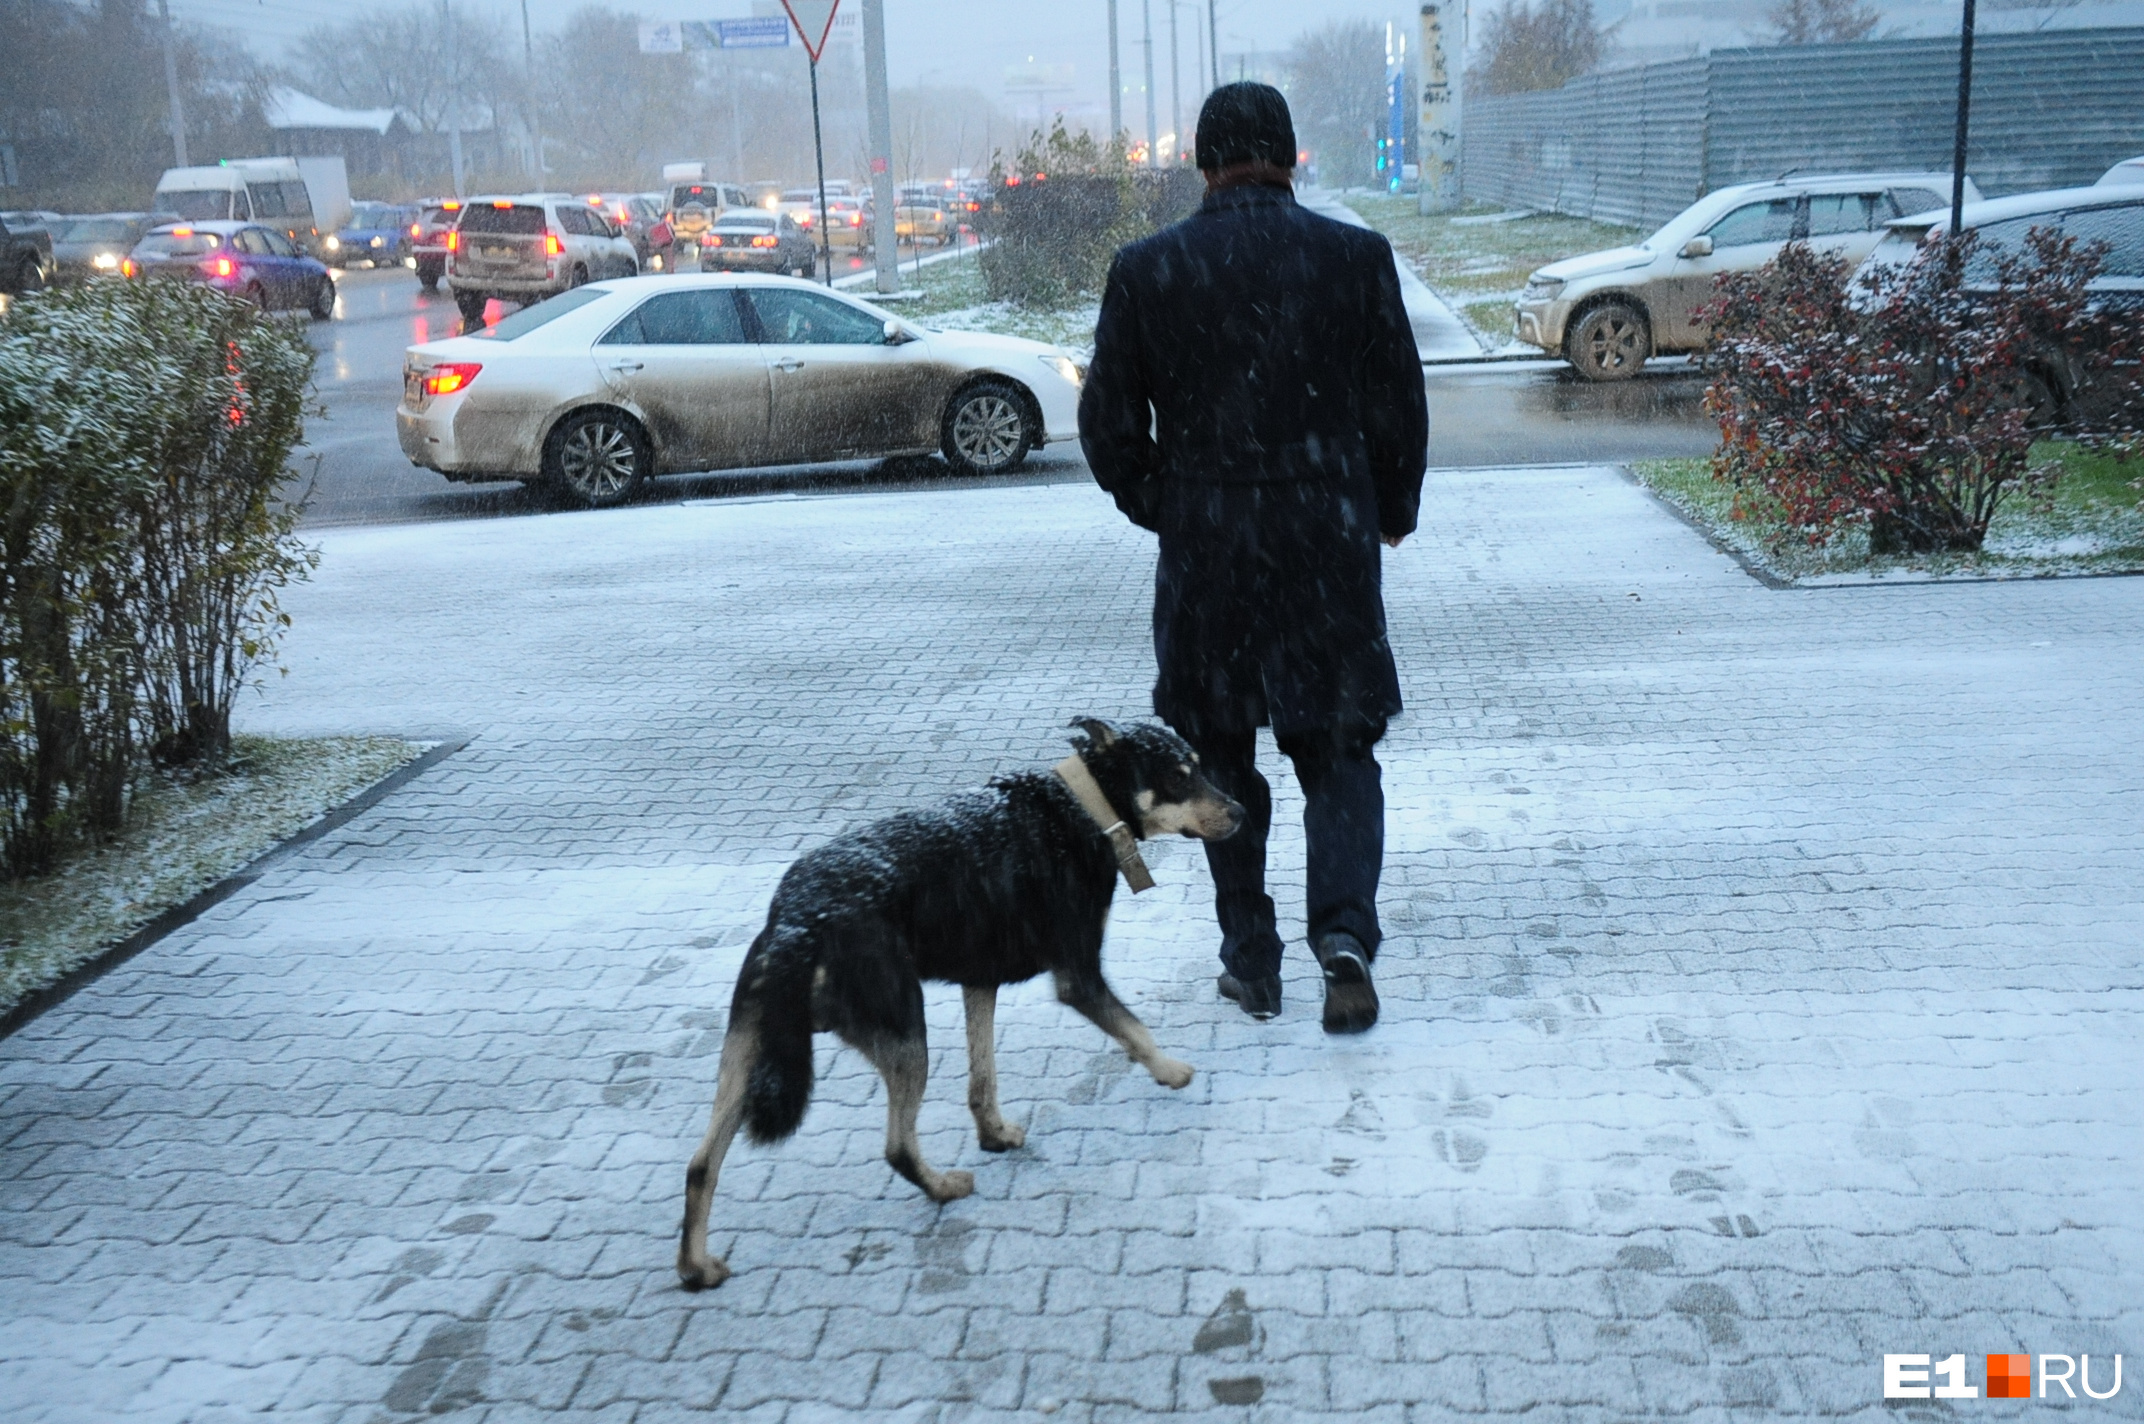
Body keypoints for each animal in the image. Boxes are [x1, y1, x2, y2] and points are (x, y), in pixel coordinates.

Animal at [668, 716, 1243, 1286]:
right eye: (1178, 776)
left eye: (1197, 767)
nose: (1240, 811)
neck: (1081, 807)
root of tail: (797, 922)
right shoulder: (1078, 977)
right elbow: (1135, 1029)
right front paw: (1170, 1071)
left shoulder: (979, 982)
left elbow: (982, 1080)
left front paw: (994, 1134)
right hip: (906, 1033)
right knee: (897, 1146)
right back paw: (943, 1187)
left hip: (748, 1052)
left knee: (701, 1165)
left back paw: (696, 1267)